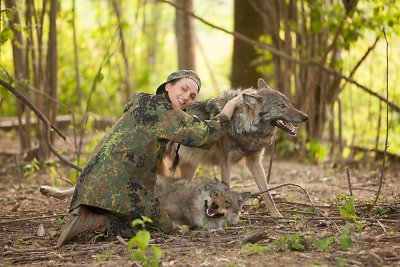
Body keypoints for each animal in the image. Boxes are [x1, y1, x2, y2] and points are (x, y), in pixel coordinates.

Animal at [160, 77, 310, 218]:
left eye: (288, 103)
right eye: (280, 105)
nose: (306, 117)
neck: (244, 126)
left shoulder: (254, 162)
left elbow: (267, 193)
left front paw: (276, 215)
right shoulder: (225, 162)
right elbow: (227, 188)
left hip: (191, 169)